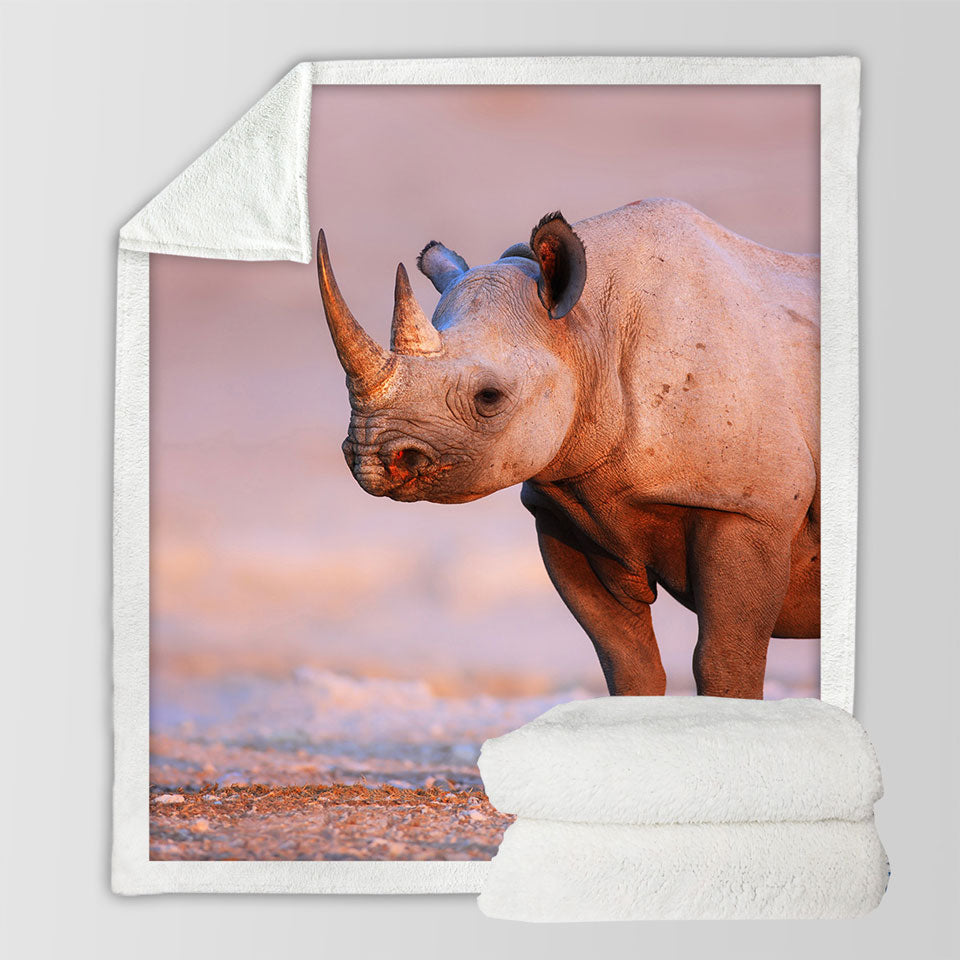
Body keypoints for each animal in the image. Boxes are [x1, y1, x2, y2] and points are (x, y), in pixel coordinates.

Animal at [316, 199, 820, 699]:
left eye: (489, 397)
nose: (370, 459)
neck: (588, 329)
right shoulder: (567, 508)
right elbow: (626, 661)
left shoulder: (746, 507)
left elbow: (724, 662)